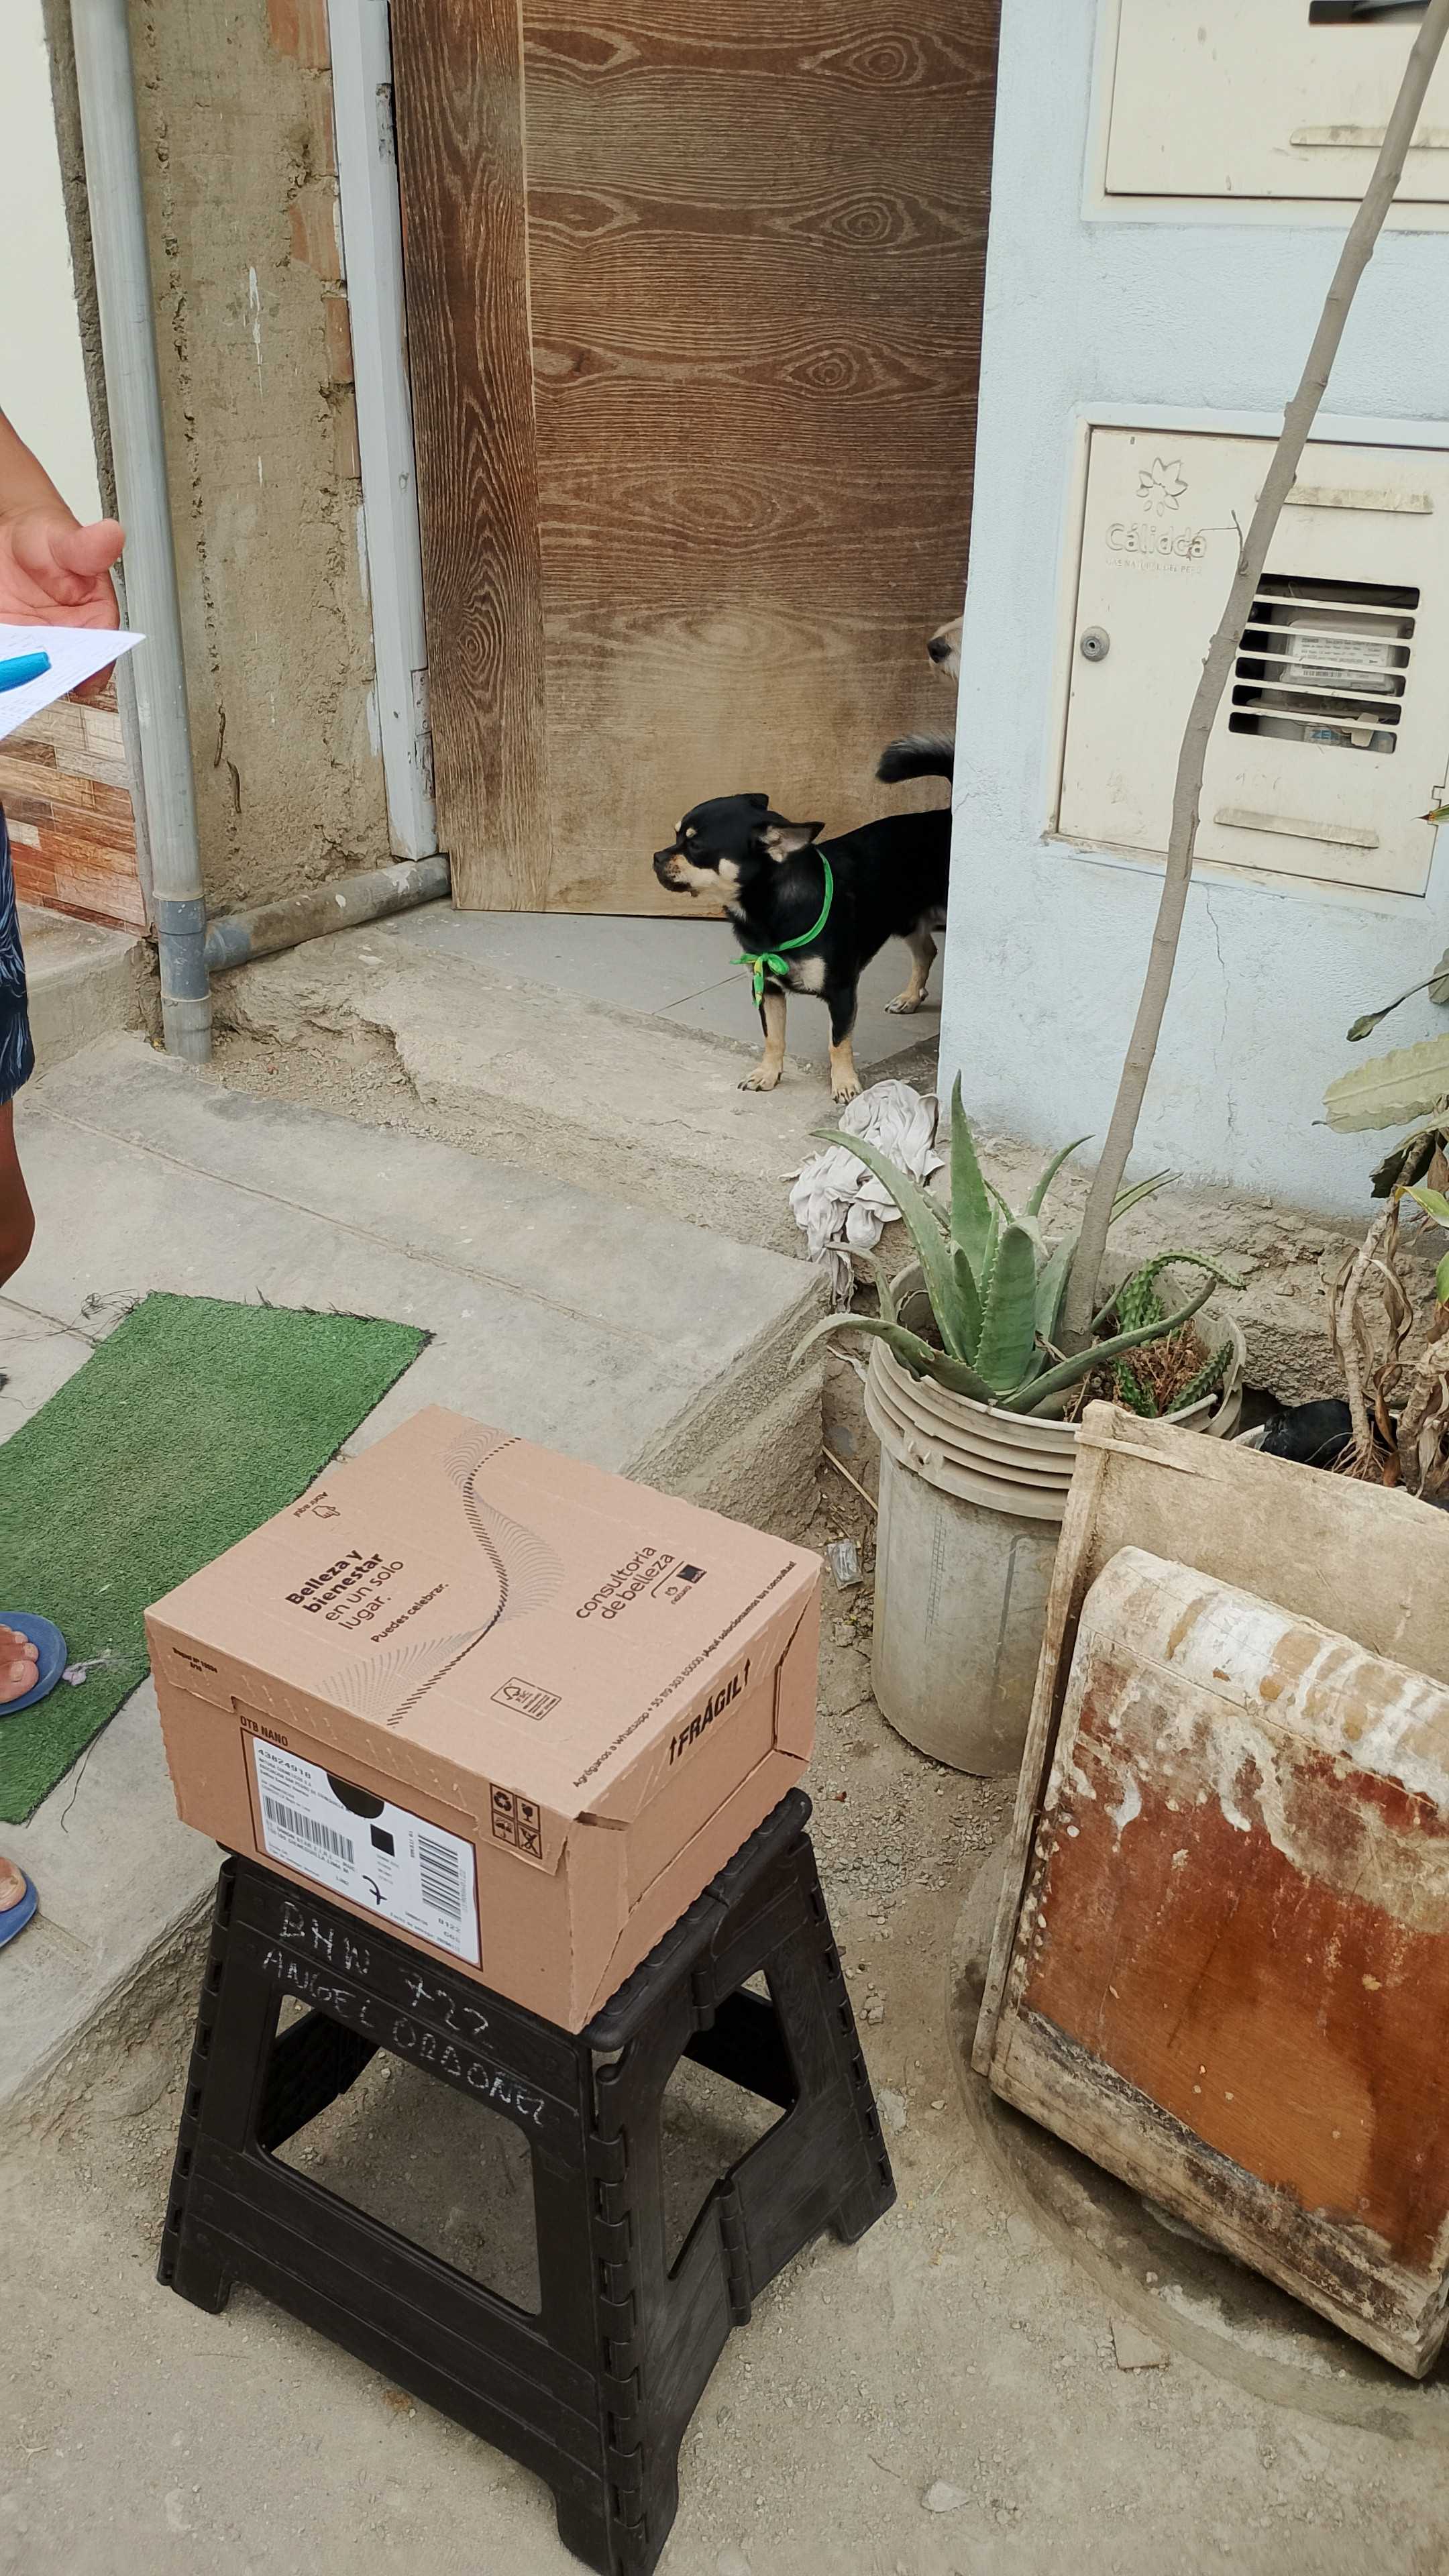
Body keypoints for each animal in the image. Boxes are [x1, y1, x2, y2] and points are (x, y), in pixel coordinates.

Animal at [652, 740, 953, 1102]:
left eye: (695, 845)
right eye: (675, 837)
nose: (656, 857)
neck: (765, 912)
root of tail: (949, 813)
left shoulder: (841, 992)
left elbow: (838, 1042)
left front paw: (845, 1083)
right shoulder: (767, 987)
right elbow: (773, 1037)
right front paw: (768, 1073)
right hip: (906, 920)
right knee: (926, 951)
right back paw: (910, 997)